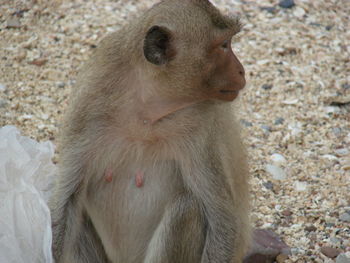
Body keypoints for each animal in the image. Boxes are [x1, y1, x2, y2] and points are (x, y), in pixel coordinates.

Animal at [50, 0, 249, 262]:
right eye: (224, 45)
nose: (242, 71)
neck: (146, 110)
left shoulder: (202, 127)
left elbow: (222, 218)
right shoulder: (87, 107)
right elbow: (68, 201)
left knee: (189, 206)